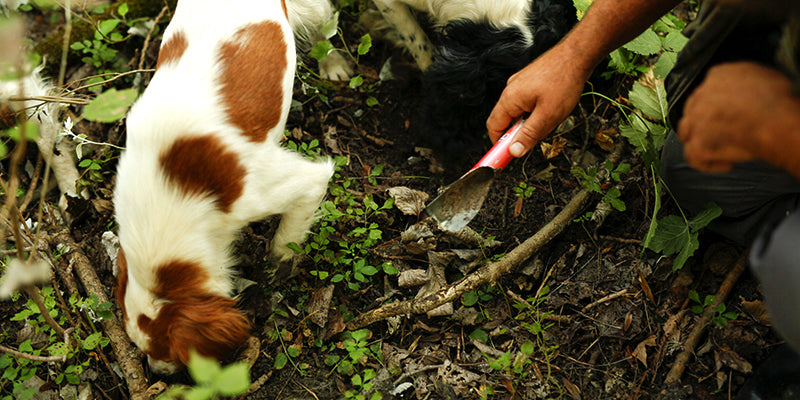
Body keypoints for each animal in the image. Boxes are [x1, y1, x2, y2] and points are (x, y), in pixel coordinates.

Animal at [112, 0, 346, 376]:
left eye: (169, 350)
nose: (155, 372)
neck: (173, 191)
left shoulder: (282, 186)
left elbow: (288, 238)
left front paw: (279, 263)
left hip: (311, 10)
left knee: (325, 26)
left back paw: (333, 64)